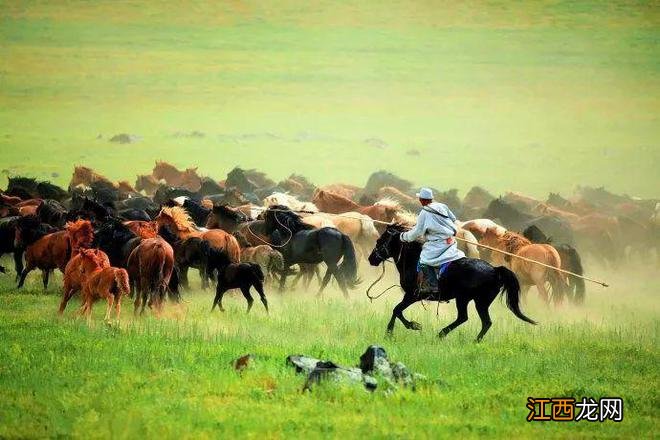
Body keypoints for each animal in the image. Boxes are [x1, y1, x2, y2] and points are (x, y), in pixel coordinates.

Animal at [366, 225, 536, 338]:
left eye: (380, 240)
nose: (371, 259)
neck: (413, 261)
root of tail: (495, 270)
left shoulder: (413, 295)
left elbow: (397, 310)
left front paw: (400, 329)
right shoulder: (411, 296)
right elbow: (398, 310)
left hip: (470, 300)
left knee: (469, 318)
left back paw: (446, 335)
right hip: (476, 301)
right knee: (481, 321)